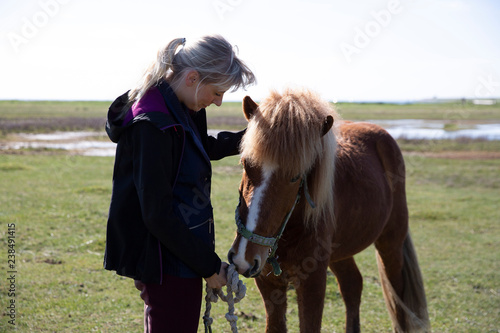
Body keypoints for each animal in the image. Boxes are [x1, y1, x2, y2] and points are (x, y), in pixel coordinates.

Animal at [229, 89, 430, 332]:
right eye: (246, 164)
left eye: (295, 177)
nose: (243, 257)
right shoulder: (268, 284)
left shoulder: (313, 283)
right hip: (341, 252)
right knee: (352, 285)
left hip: (390, 244)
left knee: (397, 296)